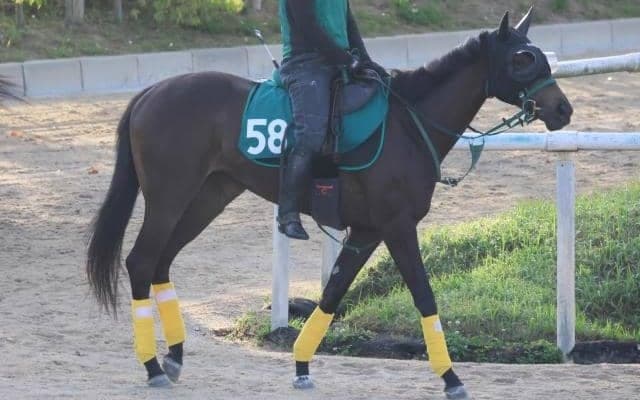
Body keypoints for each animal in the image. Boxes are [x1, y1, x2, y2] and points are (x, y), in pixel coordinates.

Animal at [86, 9, 573, 399]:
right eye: (523, 58)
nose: (563, 109)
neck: (406, 123)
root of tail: (150, 93)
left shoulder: (367, 232)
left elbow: (332, 295)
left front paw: (302, 365)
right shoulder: (397, 226)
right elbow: (424, 296)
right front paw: (451, 377)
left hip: (210, 196)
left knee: (162, 261)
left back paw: (174, 356)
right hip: (169, 196)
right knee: (141, 260)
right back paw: (152, 365)